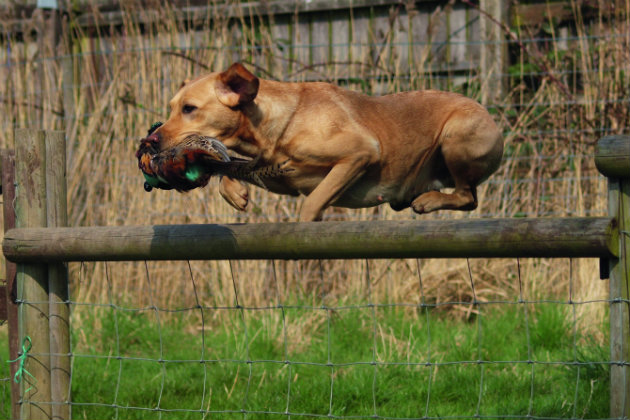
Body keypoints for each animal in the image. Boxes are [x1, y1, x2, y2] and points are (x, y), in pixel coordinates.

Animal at [147, 64, 504, 221]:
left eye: (189, 109)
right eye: (171, 107)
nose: (150, 140)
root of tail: (492, 118)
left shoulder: (360, 154)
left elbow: (312, 204)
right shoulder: (280, 176)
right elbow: (231, 167)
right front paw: (235, 192)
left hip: (455, 135)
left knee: (467, 196)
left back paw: (428, 201)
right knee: (467, 197)